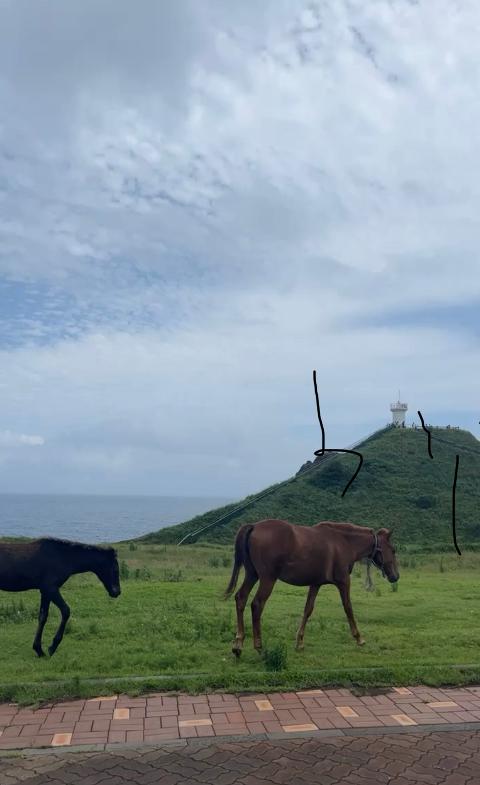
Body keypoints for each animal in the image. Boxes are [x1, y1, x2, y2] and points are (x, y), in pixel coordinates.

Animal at [225, 516, 398, 652]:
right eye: (393, 550)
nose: (395, 576)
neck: (343, 542)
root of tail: (254, 526)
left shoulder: (315, 584)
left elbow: (308, 609)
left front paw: (300, 641)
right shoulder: (343, 581)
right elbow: (348, 607)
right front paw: (359, 637)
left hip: (252, 575)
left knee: (241, 598)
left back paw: (238, 643)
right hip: (267, 579)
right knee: (257, 604)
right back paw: (258, 645)